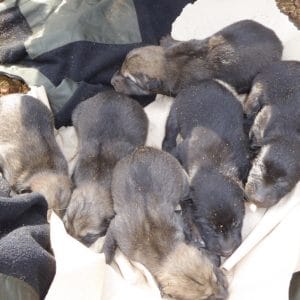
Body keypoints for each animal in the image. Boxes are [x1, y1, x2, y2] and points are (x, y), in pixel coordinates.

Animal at [103, 148, 227, 300]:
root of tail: (141, 149)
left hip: (182, 183)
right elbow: (109, 244)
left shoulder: (177, 221)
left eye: (214, 277)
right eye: (206, 298)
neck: (163, 252)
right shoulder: (118, 228)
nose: (227, 294)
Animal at [111, 19, 282, 96]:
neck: (169, 64)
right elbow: (183, 45)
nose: (112, 81)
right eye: (121, 66)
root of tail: (278, 42)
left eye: (130, 80)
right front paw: (168, 41)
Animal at [163, 80, 250, 258]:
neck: (213, 165)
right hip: (175, 112)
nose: (227, 252)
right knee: (169, 133)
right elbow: (186, 205)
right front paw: (195, 232)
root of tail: (202, 82)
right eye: (209, 227)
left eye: (236, 223)